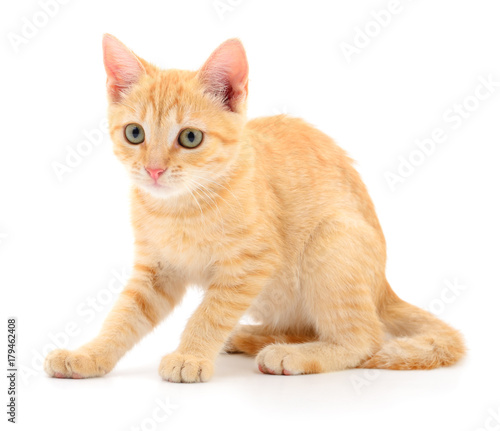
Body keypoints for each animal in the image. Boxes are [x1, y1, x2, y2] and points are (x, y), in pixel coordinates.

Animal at [43, 34, 464, 384]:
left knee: (365, 339)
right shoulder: (155, 271)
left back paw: (293, 354)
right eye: (135, 133)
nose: (154, 169)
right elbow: (123, 317)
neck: (180, 208)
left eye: (190, 137)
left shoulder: (251, 263)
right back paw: (253, 337)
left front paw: (190, 356)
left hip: (330, 243)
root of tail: (383, 286)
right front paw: (89, 355)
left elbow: (210, 312)